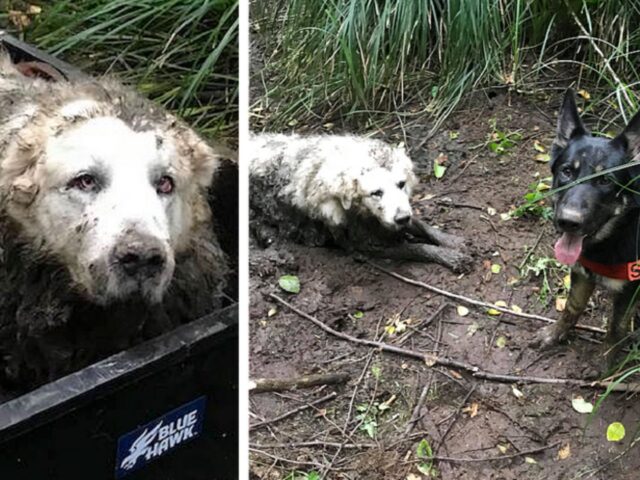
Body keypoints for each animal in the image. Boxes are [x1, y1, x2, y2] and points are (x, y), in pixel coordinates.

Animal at [250, 133, 470, 272]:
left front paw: (454, 242)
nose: (401, 218)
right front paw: (450, 256)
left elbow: (422, 226)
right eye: (376, 192)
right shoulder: (365, 244)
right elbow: (416, 249)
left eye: (401, 184)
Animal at [532, 89, 640, 368]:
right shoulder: (582, 272)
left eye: (605, 181)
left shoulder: (629, 291)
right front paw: (555, 333)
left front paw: (604, 364)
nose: (568, 222)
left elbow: (615, 328)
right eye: (567, 171)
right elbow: (572, 307)